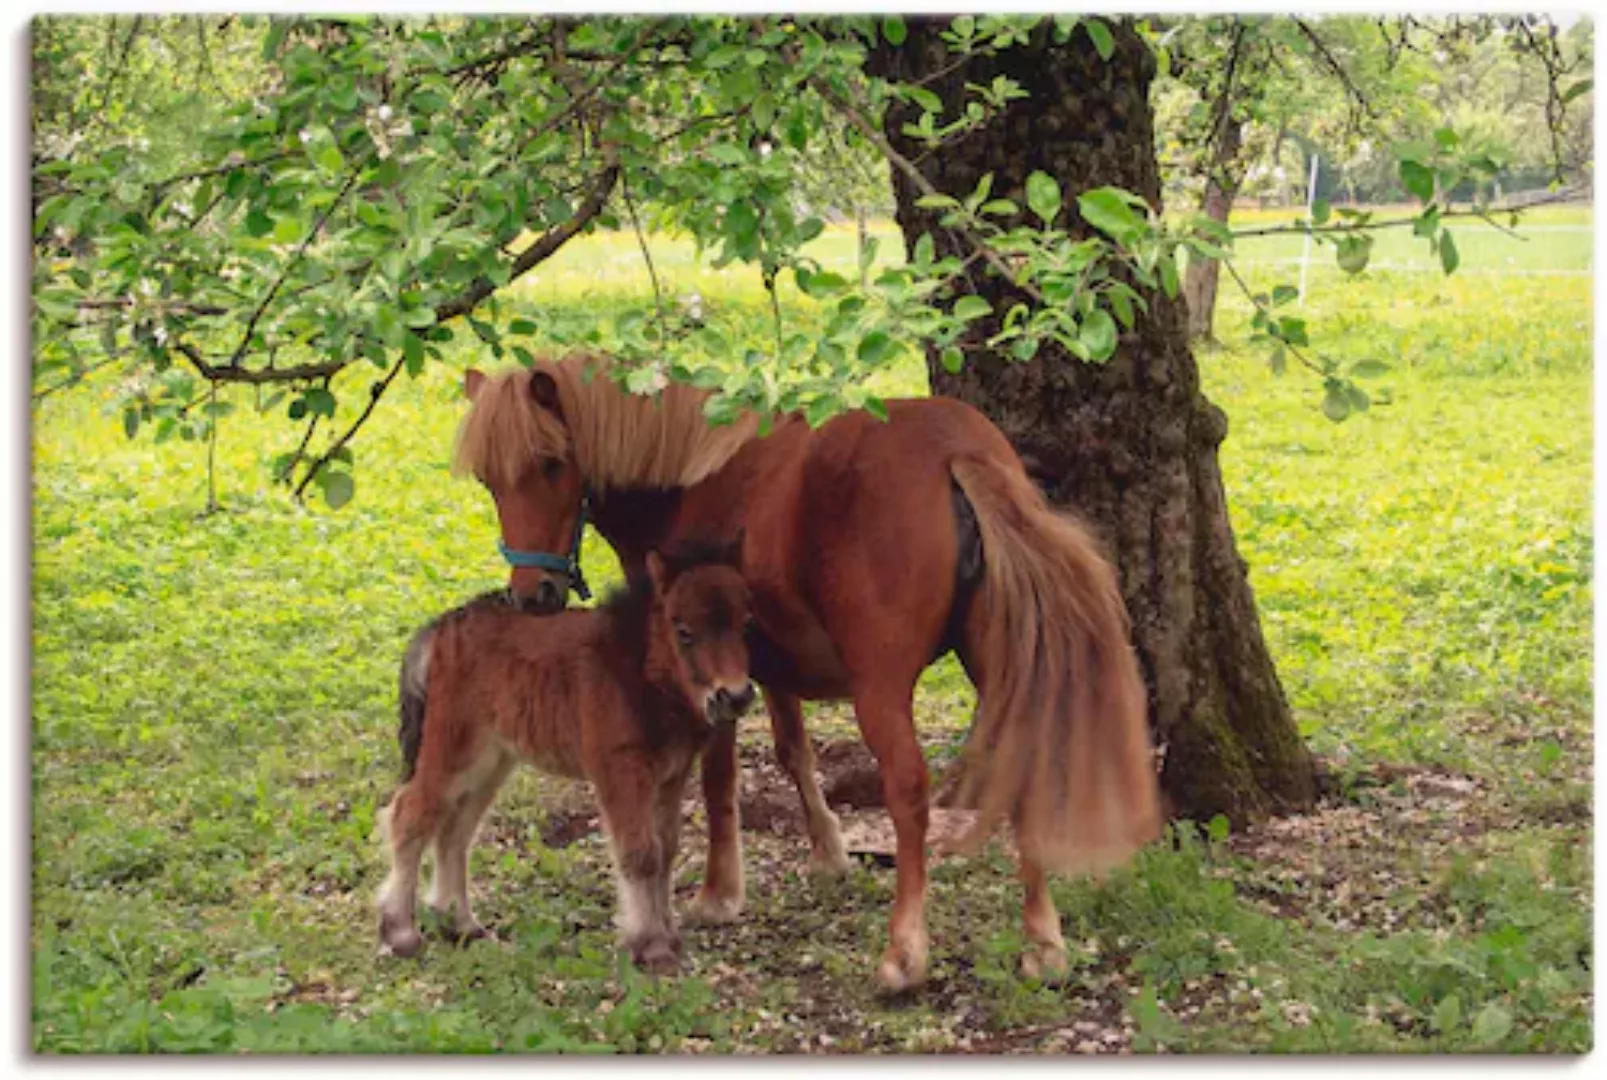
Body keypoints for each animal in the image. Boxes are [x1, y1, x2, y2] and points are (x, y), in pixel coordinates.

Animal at [459, 358, 1163, 989]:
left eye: (551, 464)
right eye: (489, 480)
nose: (532, 595)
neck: (693, 479)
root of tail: (956, 450)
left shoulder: (710, 677)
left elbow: (719, 779)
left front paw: (720, 892)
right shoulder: (766, 665)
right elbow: (792, 748)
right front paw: (828, 850)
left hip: (881, 688)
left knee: (907, 791)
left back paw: (904, 955)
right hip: (1000, 664)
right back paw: (1043, 945)